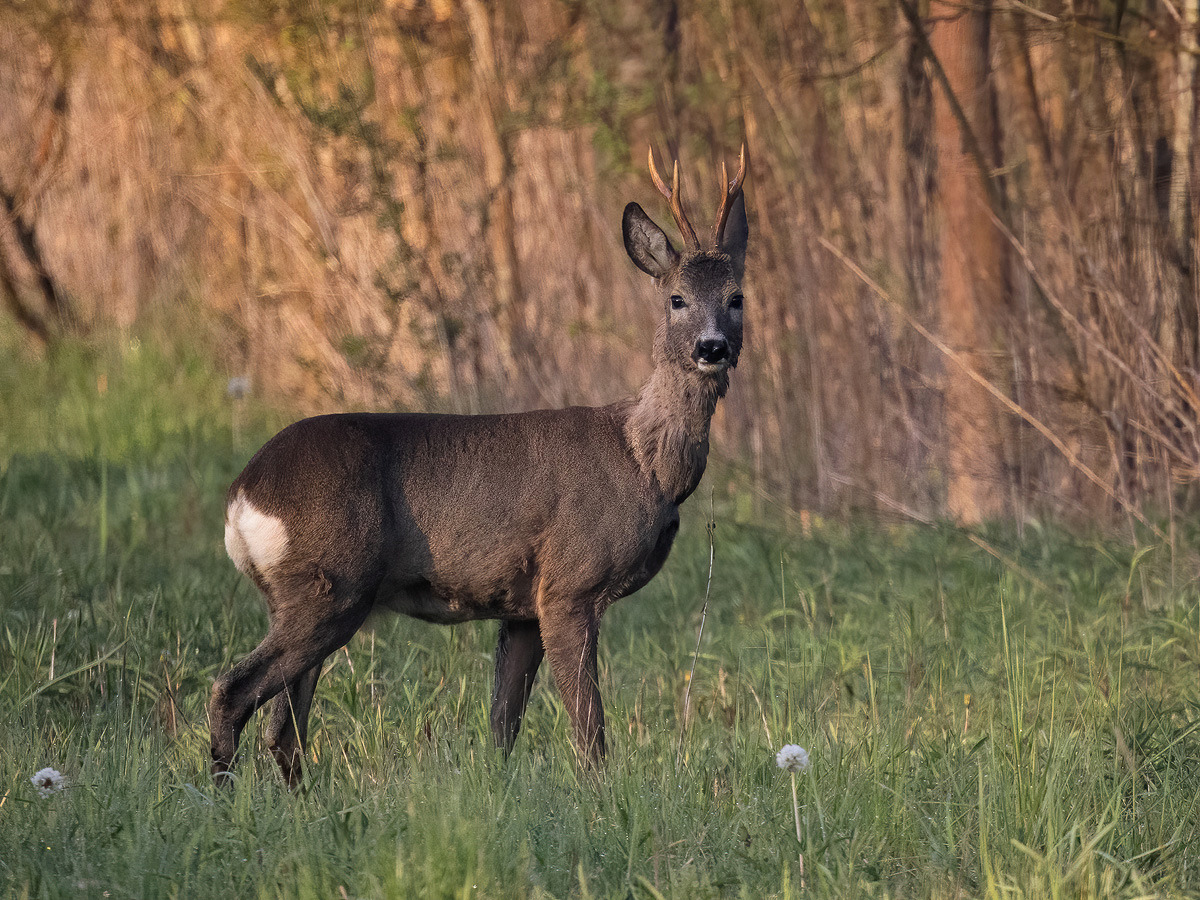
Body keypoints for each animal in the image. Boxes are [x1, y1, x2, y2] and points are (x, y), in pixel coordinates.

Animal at [211, 144, 744, 787]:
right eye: (677, 298)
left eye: (738, 297)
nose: (712, 347)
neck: (644, 462)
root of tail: (242, 494)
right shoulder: (570, 581)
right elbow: (589, 730)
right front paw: (600, 795)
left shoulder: (521, 606)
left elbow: (503, 724)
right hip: (328, 583)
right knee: (233, 692)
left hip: (311, 595)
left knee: (284, 730)